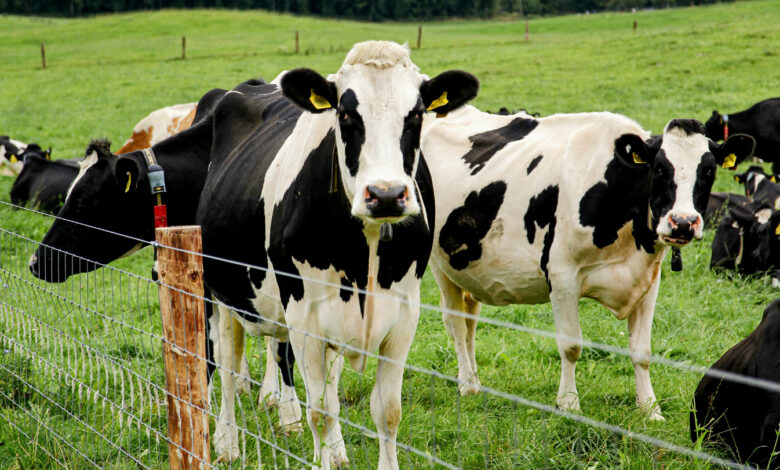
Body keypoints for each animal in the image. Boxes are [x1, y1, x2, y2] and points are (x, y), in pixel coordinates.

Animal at [190, 41, 477, 467]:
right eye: (345, 114)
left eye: (416, 114)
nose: (387, 194)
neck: (366, 250)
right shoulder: (304, 315)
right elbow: (320, 411)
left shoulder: (405, 313)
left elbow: (386, 410)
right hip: (219, 290)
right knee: (225, 363)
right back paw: (227, 443)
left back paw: (337, 451)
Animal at [420, 105, 755, 420]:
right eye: (659, 169)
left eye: (708, 171)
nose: (683, 222)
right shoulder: (562, 276)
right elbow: (571, 345)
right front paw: (569, 404)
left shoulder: (649, 279)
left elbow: (642, 351)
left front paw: (650, 409)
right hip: (439, 263)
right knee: (454, 322)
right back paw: (467, 384)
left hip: (468, 268)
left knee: (469, 321)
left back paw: (475, 380)